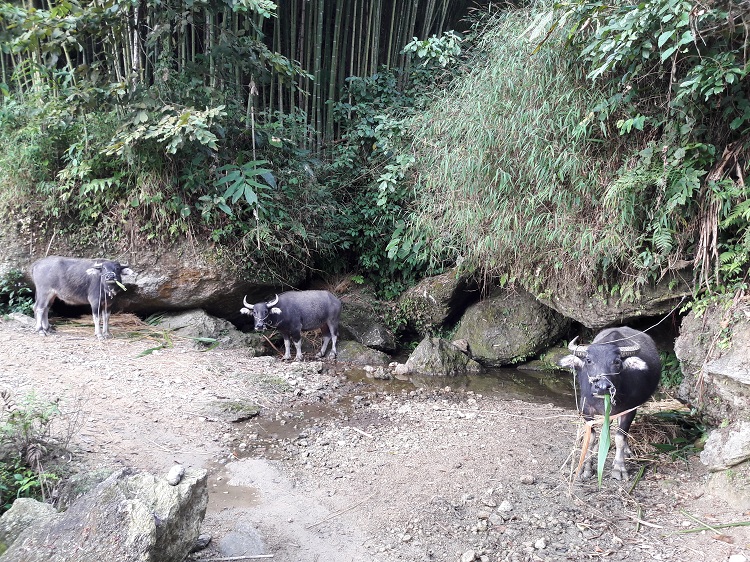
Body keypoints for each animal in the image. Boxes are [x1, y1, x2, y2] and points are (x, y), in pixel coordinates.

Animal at [560, 326, 660, 480]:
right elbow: (591, 437)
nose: (602, 386)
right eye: (588, 360)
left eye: (617, 361)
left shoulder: (630, 410)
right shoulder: (586, 409)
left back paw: (625, 451)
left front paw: (619, 468)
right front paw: (586, 468)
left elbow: (620, 437)